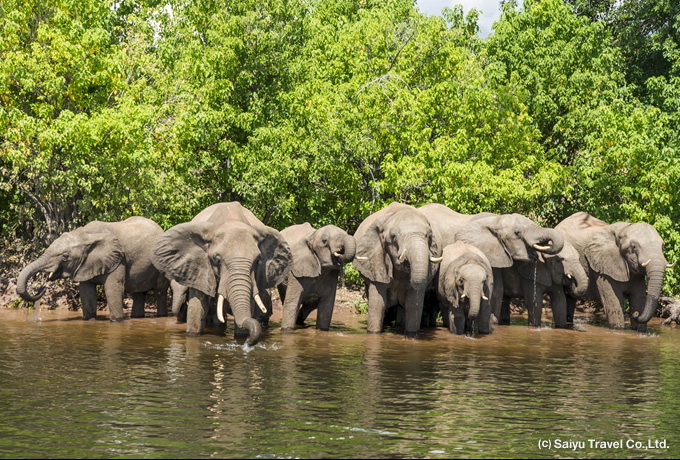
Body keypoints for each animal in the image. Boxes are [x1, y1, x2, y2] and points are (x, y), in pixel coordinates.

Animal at [16, 217, 170, 322]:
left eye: (65, 256)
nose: (43, 287)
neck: (84, 235)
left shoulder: (119, 259)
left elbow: (112, 289)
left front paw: (117, 321)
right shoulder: (86, 265)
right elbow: (86, 292)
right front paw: (89, 320)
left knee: (160, 291)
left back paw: (162, 316)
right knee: (139, 294)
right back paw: (137, 317)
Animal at [151, 202, 292, 344]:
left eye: (258, 261)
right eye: (217, 260)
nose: (249, 342)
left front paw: (242, 338)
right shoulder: (200, 268)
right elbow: (196, 309)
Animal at [354, 203, 444, 336]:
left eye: (429, 236)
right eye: (393, 237)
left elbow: (413, 305)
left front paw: (411, 336)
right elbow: (378, 304)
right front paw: (374, 334)